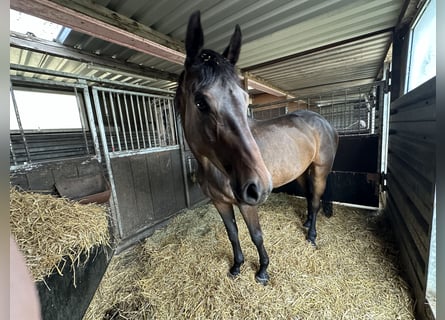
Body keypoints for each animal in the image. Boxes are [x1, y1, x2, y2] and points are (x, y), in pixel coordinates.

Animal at [175, 10, 338, 284]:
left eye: (245, 99)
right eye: (200, 102)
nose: (258, 186)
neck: (214, 166)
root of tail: (324, 122)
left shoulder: (246, 203)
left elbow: (256, 235)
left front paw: (262, 271)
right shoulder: (220, 203)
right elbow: (232, 233)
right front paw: (236, 266)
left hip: (319, 170)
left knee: (316, 200)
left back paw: (311, 235)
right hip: (301, 171)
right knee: (309, 197)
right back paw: (306, 223)